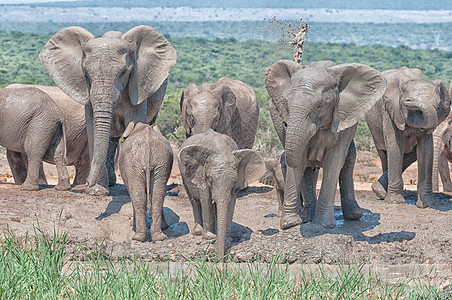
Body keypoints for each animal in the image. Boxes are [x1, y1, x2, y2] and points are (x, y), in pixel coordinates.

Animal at [39, 25, 177, 197]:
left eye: (124, 72)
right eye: (86, 73)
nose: (87, 184)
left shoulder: (137, 86)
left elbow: (136, 123)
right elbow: (93, 129)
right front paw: (97, 191)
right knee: (111, 140)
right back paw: (110, 182)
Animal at [178, 129, 266, 258]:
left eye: (233, 182)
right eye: (210, 179)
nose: (220, 259)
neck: (221, 148)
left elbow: (231, 201)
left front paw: (226, 239)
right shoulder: (201, 173)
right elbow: (206, 198)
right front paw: (209, 237)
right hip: (184, 175)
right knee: (194, 201)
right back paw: (198, 231)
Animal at [266, 59, 386, 229]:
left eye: (319, 106)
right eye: (287, 104)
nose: (285, 123)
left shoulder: (345, 117)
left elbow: (334, 160)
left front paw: (323, 224)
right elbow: (301, 160)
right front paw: (291, 223)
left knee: (349, 159)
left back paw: (354, 215)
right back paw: (307, 217)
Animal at [366, 67, 450, 207]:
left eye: (438, 107)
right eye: (408, 104)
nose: (408, 101)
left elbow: (426, 148)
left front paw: (428, 204)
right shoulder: (390, 111)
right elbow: (395, 145)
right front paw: (395, 202)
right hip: (375, 130)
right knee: (384, 154)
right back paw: (382, 194)